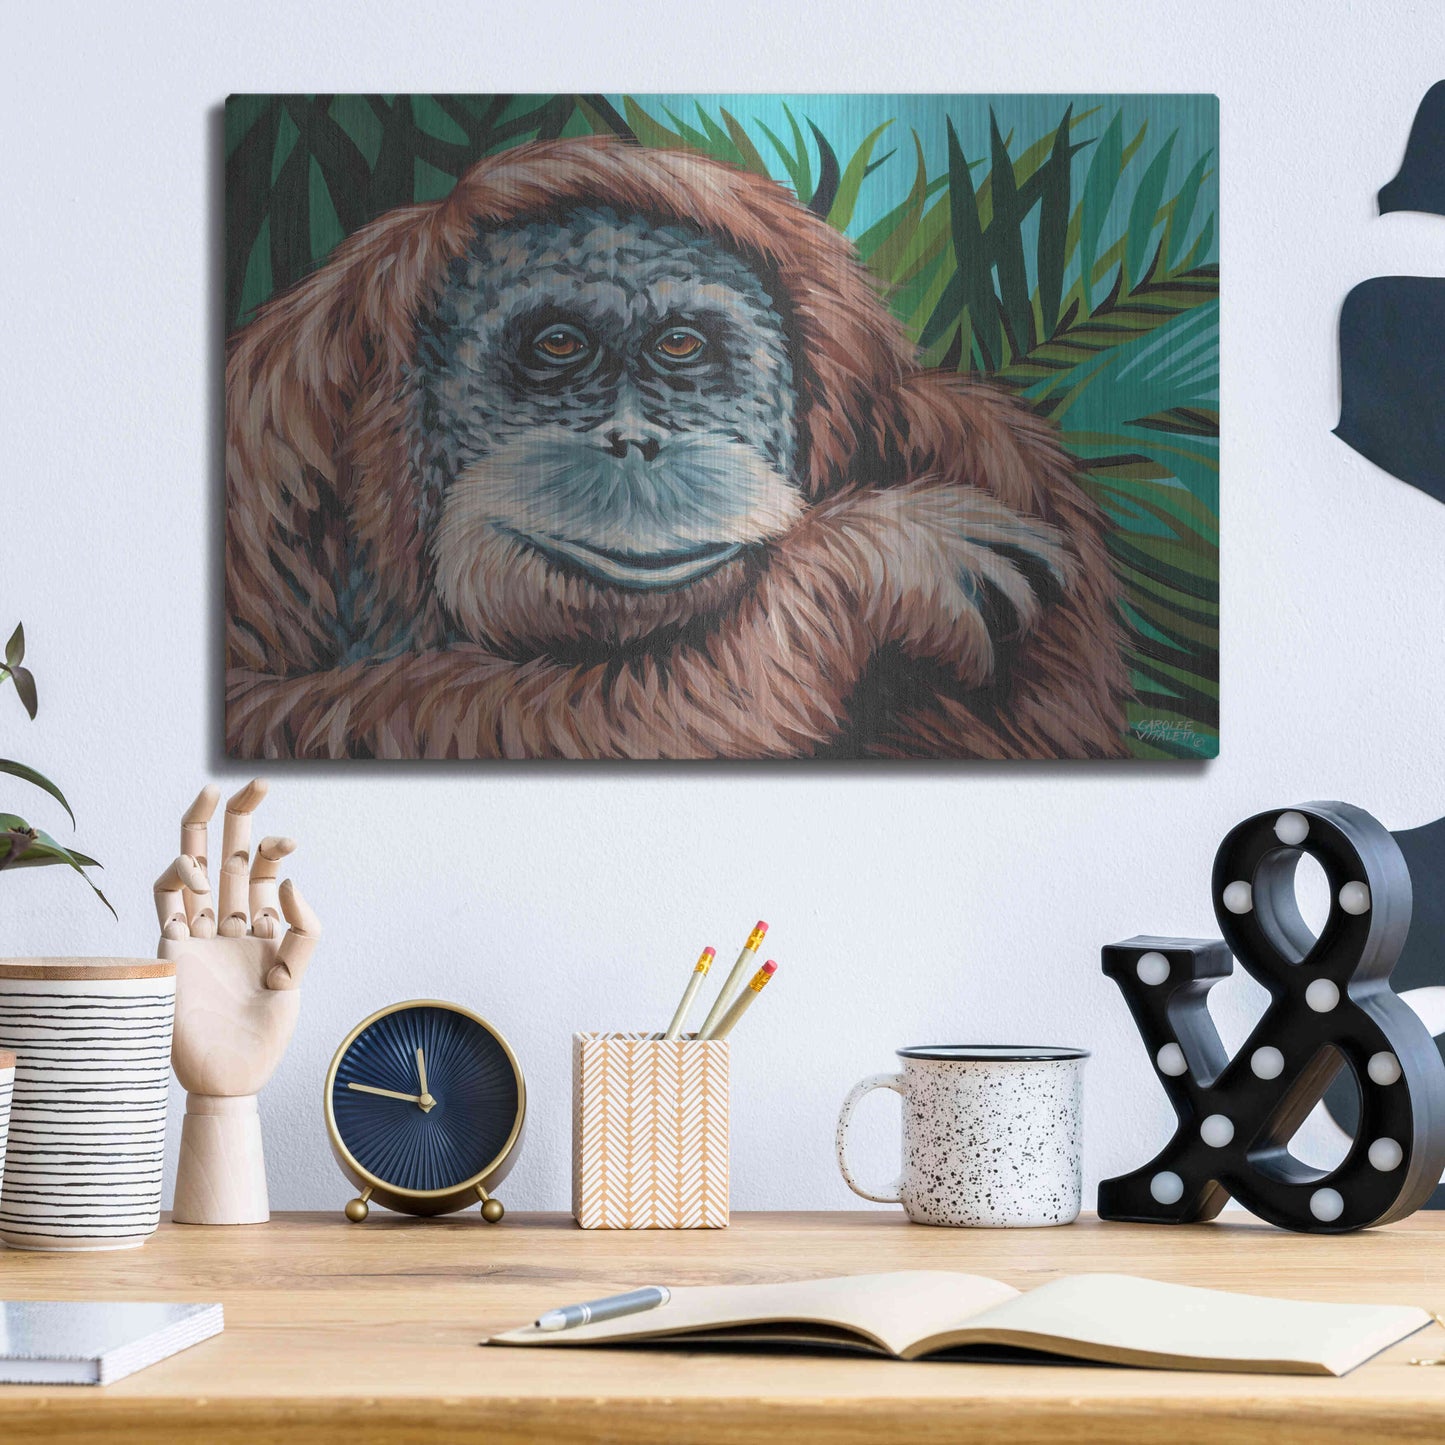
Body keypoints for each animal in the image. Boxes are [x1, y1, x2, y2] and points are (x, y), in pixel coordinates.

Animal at [224, 136, 1128, 759]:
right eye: (558, 346)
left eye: (681, 347)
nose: (633, 443)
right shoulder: (265, 444)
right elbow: (263, 710)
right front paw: (868, 562)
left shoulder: (995, 448)